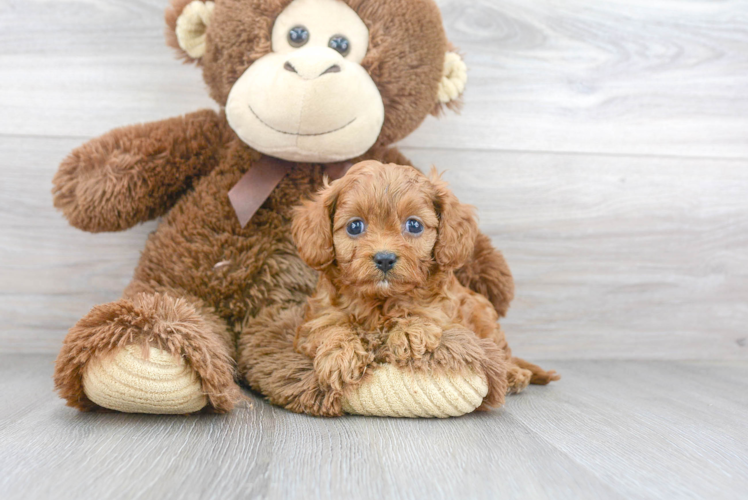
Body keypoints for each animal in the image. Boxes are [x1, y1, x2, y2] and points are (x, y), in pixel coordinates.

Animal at [290, 161, 560, 414]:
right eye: (355, 226)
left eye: (414, 225)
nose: (384, 258)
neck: (380, 300)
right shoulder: (315, 319)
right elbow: (329, 328)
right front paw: (339, 356)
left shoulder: (445, 314)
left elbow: (422, 312)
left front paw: (410, 332)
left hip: (485, 319)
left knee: (502, 355)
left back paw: (514, 374)